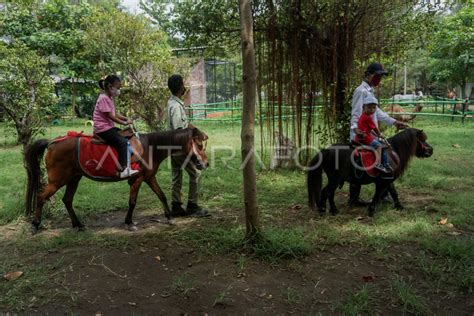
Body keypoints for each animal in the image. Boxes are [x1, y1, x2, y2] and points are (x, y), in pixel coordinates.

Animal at [25, 127, 208, 233]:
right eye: (199, 145)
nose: (205, 163)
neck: (149, 147)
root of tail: (52, 143)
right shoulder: (137, 179)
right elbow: (132, 202)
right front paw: (129, 223)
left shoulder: (149, 177)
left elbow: (161, 195)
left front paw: (170, 217)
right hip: (57, 181)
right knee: (41, 197)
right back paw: (35, 225)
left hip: (74, 178)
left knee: (67, 200)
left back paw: (78, 224)